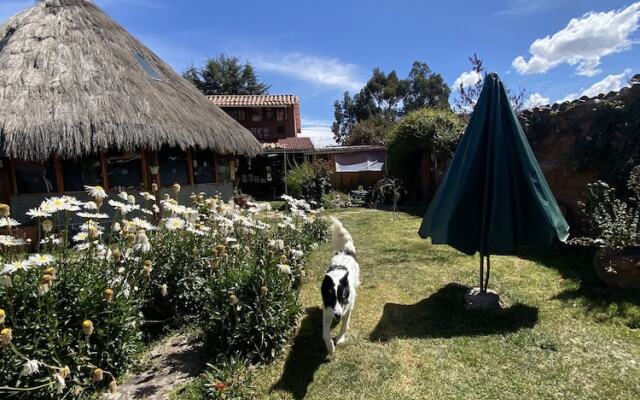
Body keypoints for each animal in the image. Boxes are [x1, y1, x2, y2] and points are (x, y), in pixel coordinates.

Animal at [320, 217, 360, 354]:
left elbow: (344, 325)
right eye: (331, 299)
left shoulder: (346, 308)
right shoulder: (327, 310)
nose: (338, 315)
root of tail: (346, 251)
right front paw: (330, 347)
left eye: (342, 298)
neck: (337, 276)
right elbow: (324, 334)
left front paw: (340, 338)